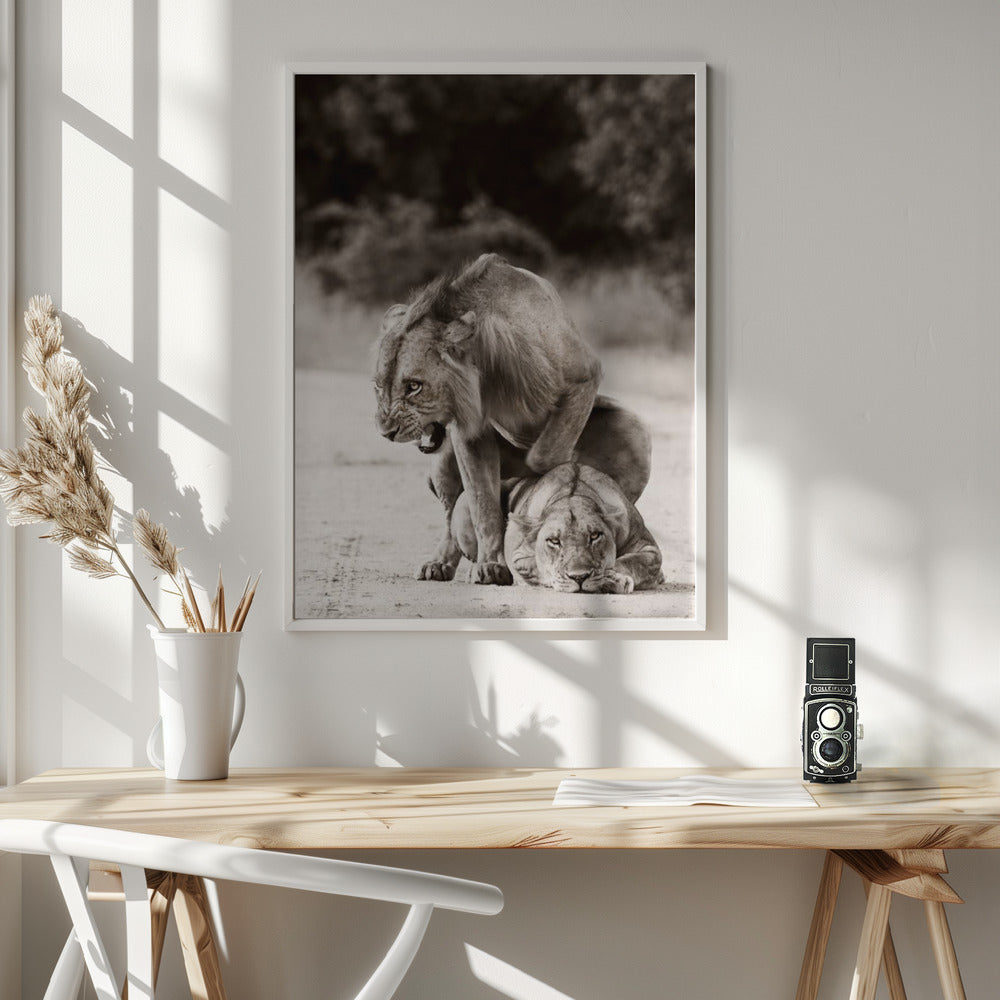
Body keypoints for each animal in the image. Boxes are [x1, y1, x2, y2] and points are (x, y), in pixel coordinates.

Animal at [374, 253, 651, 585]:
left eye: (414, 386)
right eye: (379, 386)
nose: (386, 432)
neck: (485, 365)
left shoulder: (583, 376)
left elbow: (544, 458)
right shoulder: (470, 433)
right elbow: (482, 503)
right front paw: (492, 564)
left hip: (632, 432)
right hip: (442, 462)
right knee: (452, 515)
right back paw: (439, 563)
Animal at [452, 463, 664, 594]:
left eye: (595, 536)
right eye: (554, 541)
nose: (579, 577)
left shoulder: (648, 548)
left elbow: (632, 561)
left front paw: (612, 578)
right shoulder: (519, 555)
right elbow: (541, 567)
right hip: (464, 502)